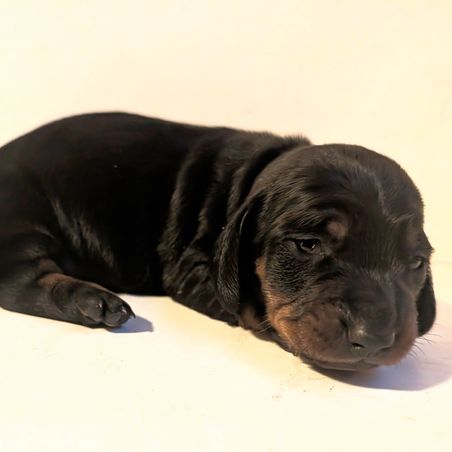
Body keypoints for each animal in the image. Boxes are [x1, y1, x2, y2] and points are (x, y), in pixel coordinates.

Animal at [0, 112, 435, 370]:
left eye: (416, 263)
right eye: (308, 245)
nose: (375, 338)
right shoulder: (195, 269)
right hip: (21, 212)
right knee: (20, 280)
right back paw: (93, 301)